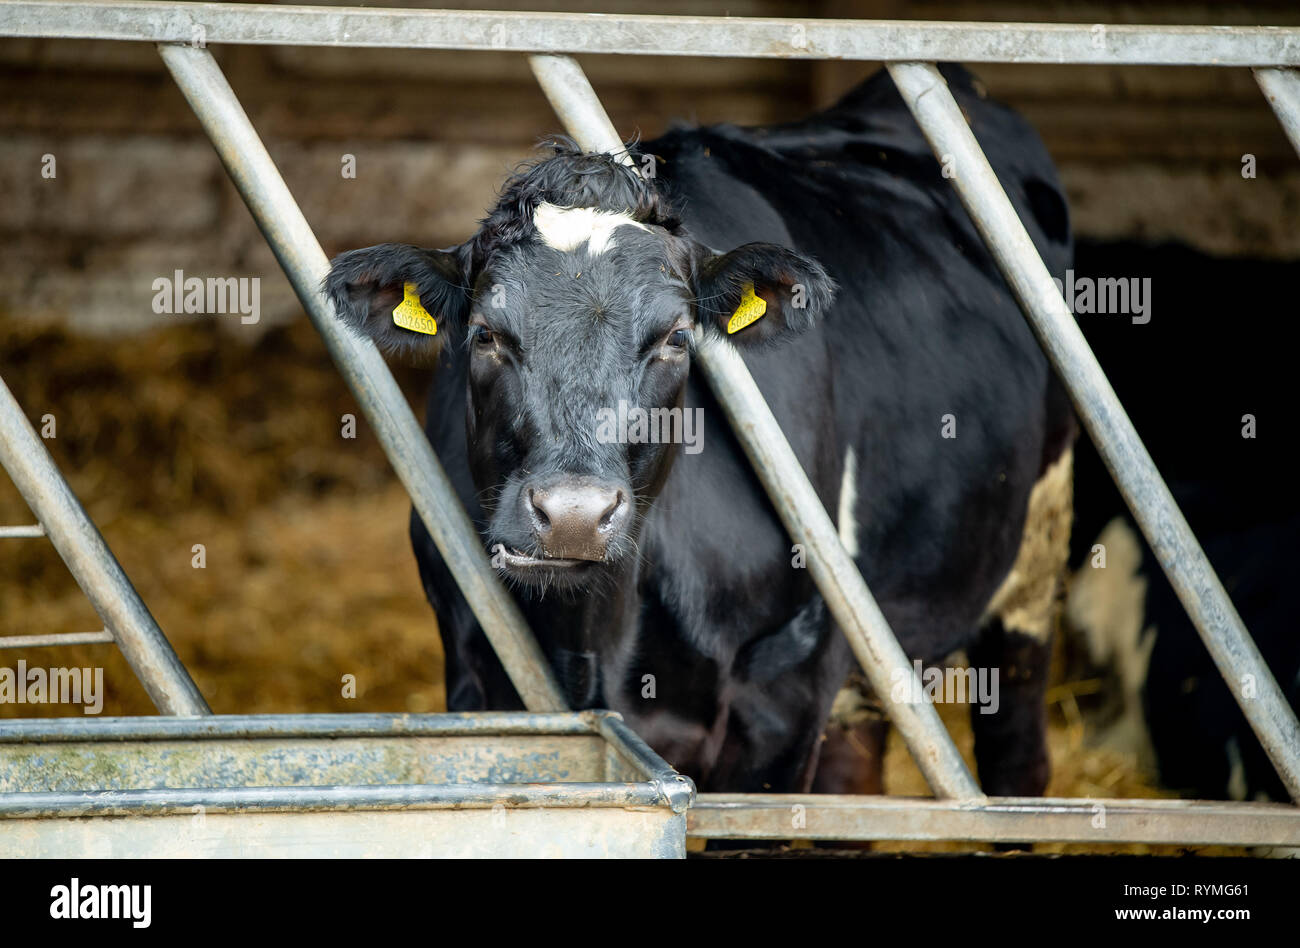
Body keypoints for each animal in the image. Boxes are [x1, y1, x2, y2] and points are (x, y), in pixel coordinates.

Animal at [327, 62, 1076, 795]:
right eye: (485, 333)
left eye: (676, 338)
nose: (574, 515)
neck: (599, 632)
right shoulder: (475, 675)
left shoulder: (785, 695)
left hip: (1034, 564)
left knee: (1017, 752)